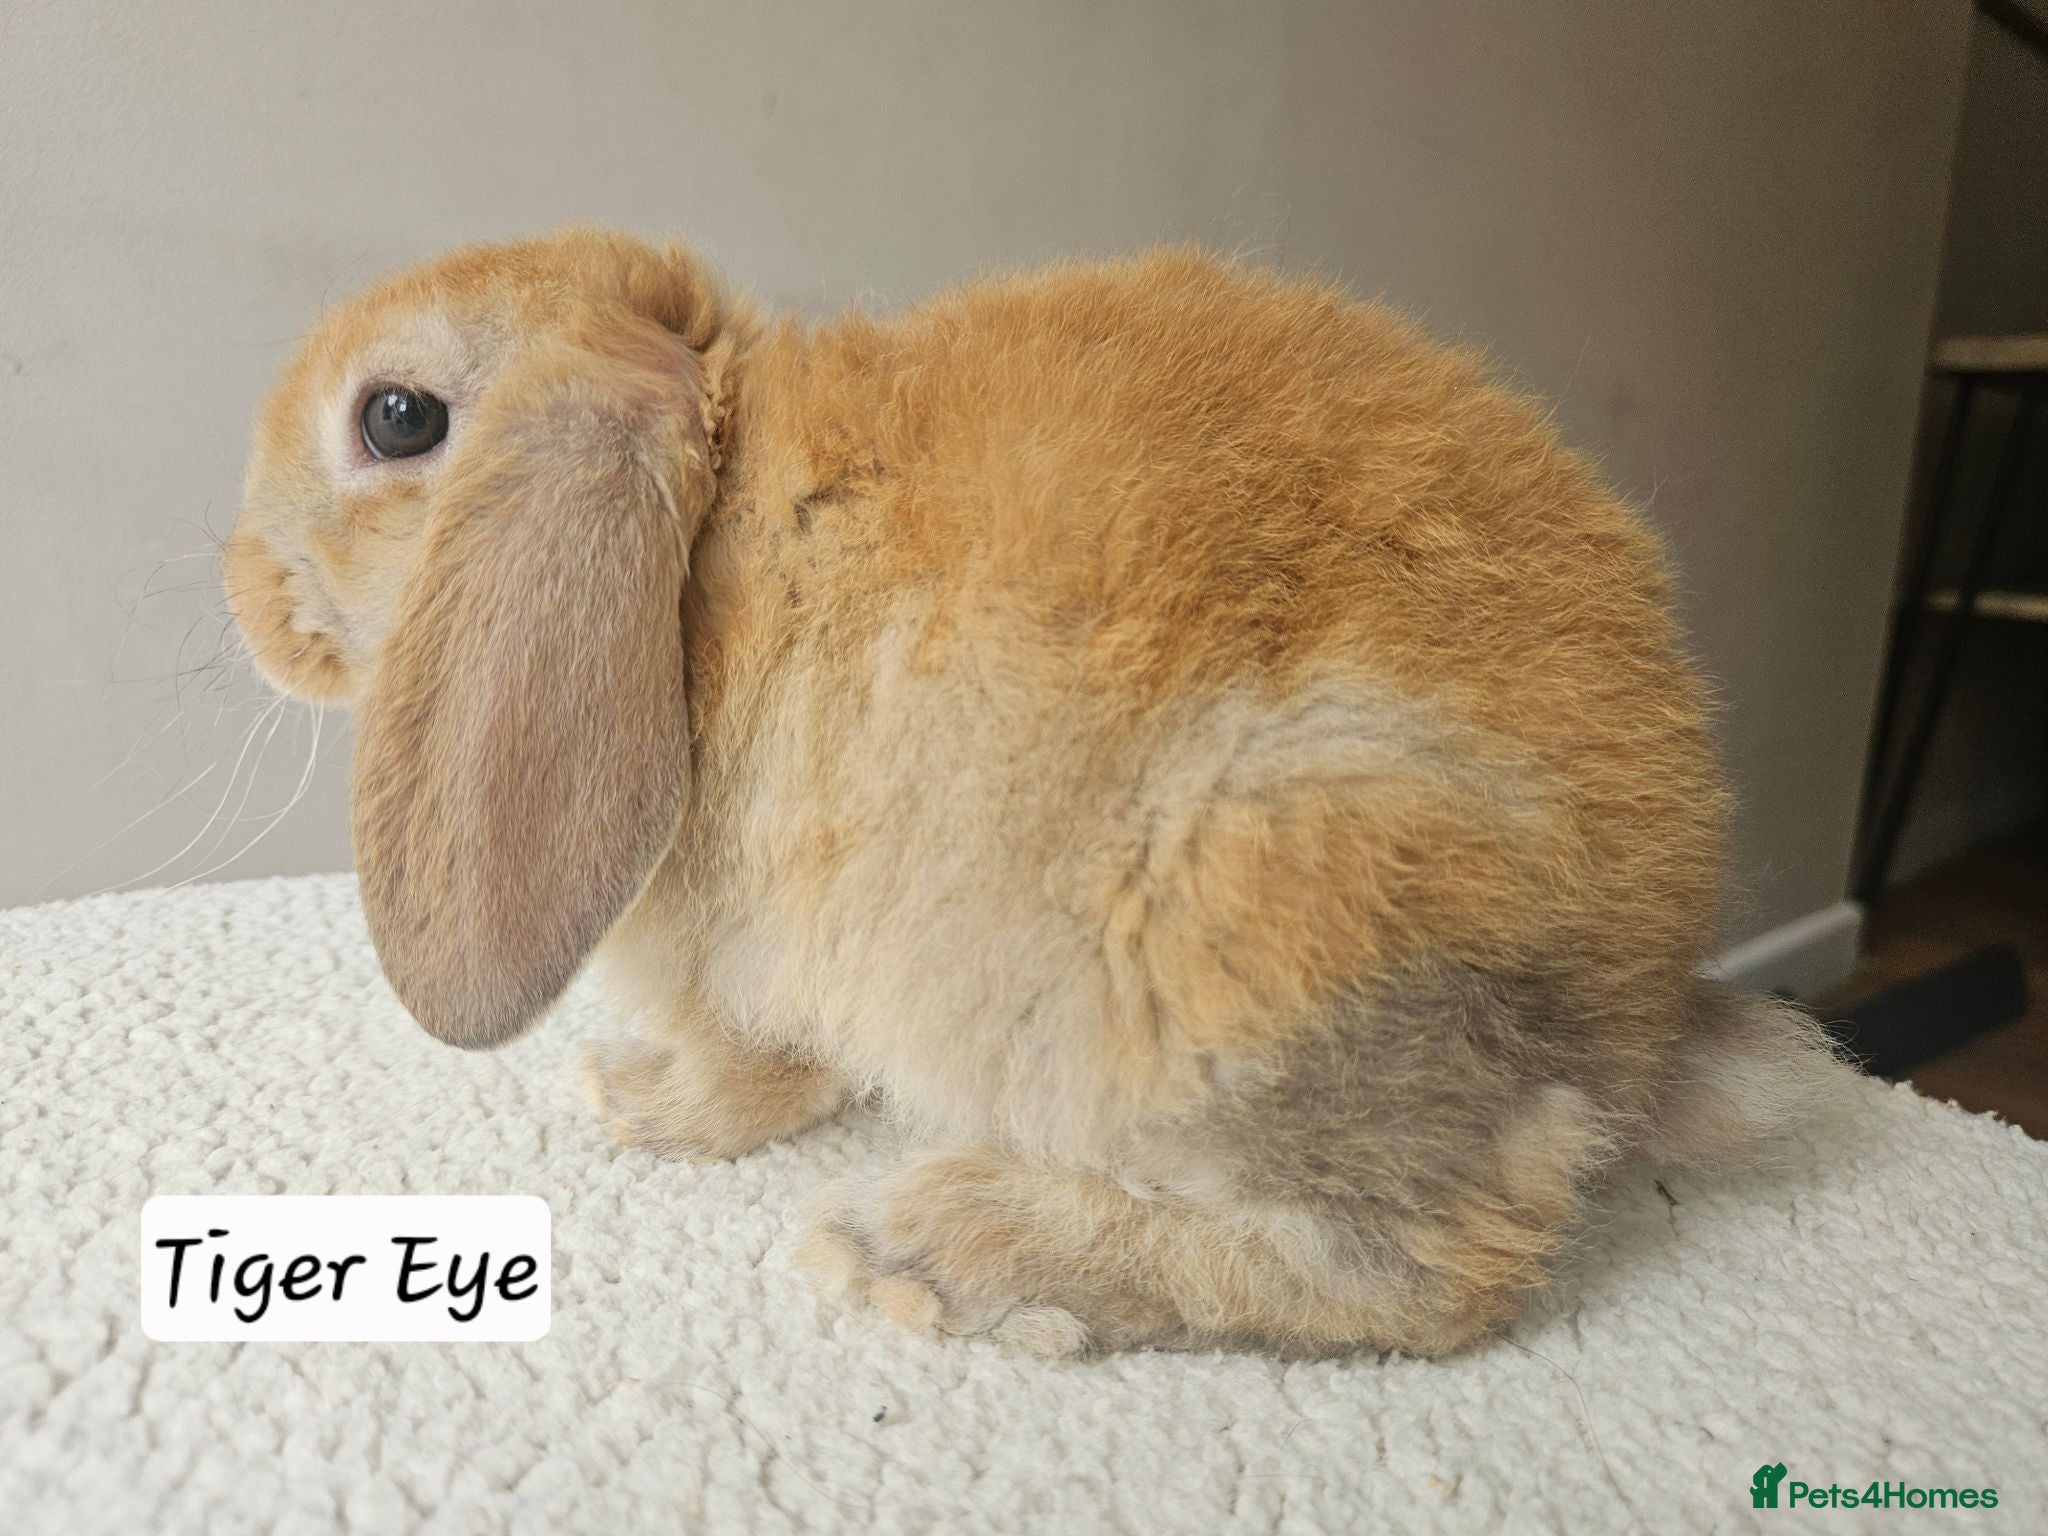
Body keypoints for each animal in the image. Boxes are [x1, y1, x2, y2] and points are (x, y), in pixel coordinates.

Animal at [225, 227, 1840, 1358]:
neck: (710, 516)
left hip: (1254, 928)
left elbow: (745, 1072)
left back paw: (944, 1251)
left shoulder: (739, 956)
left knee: (1432, 1271)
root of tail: (1633, 1031)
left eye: (395, 418)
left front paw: (640, 1105)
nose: (245, 597)